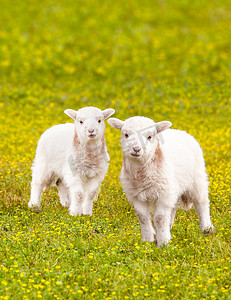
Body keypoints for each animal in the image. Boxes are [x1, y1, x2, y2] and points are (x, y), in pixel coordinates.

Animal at [108, 116, 215, 245]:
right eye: (126, 135)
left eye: (150, 137)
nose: (136, 149)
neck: (141, 175)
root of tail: (179, 131)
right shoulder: (136, 195)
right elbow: (142, 217)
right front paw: (147, 240)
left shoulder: (163, 194)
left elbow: (160, 218)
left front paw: (163, 242)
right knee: (173, 207)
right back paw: (169, 226)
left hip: (197, 178)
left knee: (202, 202)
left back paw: (207, 228)